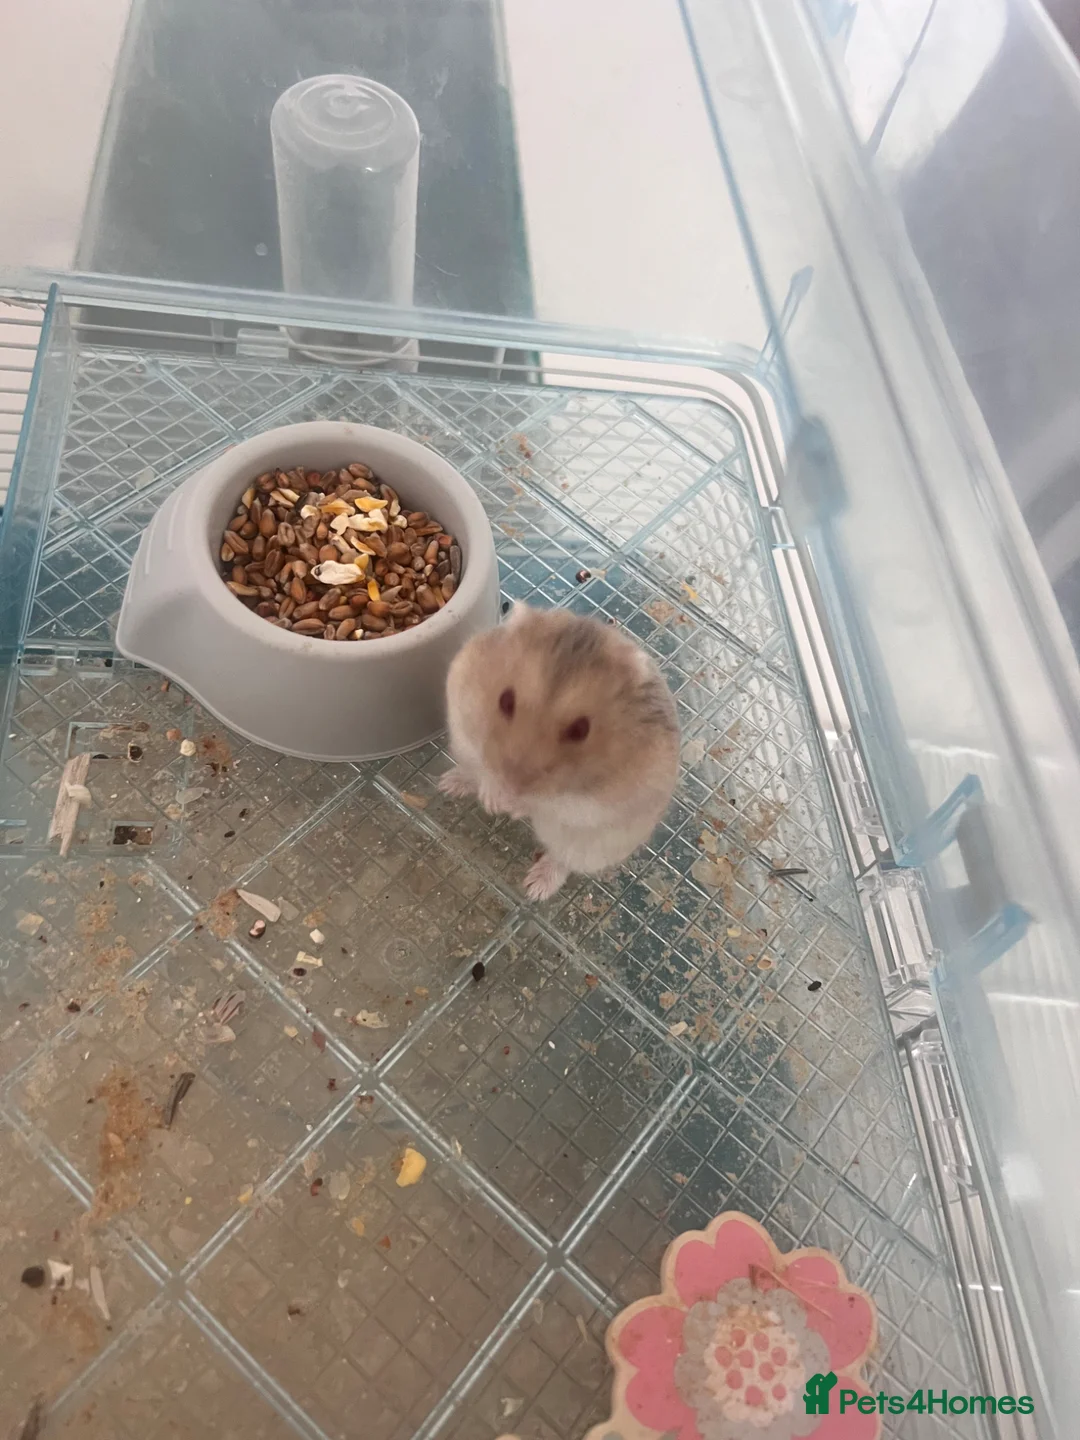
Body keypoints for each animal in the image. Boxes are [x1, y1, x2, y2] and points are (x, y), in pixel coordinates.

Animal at [440, 602, 680, 900]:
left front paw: (510, 807)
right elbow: (484, 769)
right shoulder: (463, 719)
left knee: (561, 860)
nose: (510, 791)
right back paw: (447, 784)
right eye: (505, 701)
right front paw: (493, 802)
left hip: (590, 848)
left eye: (581, 730)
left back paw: (535, 888)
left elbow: (550, 802)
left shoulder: (595, 803)